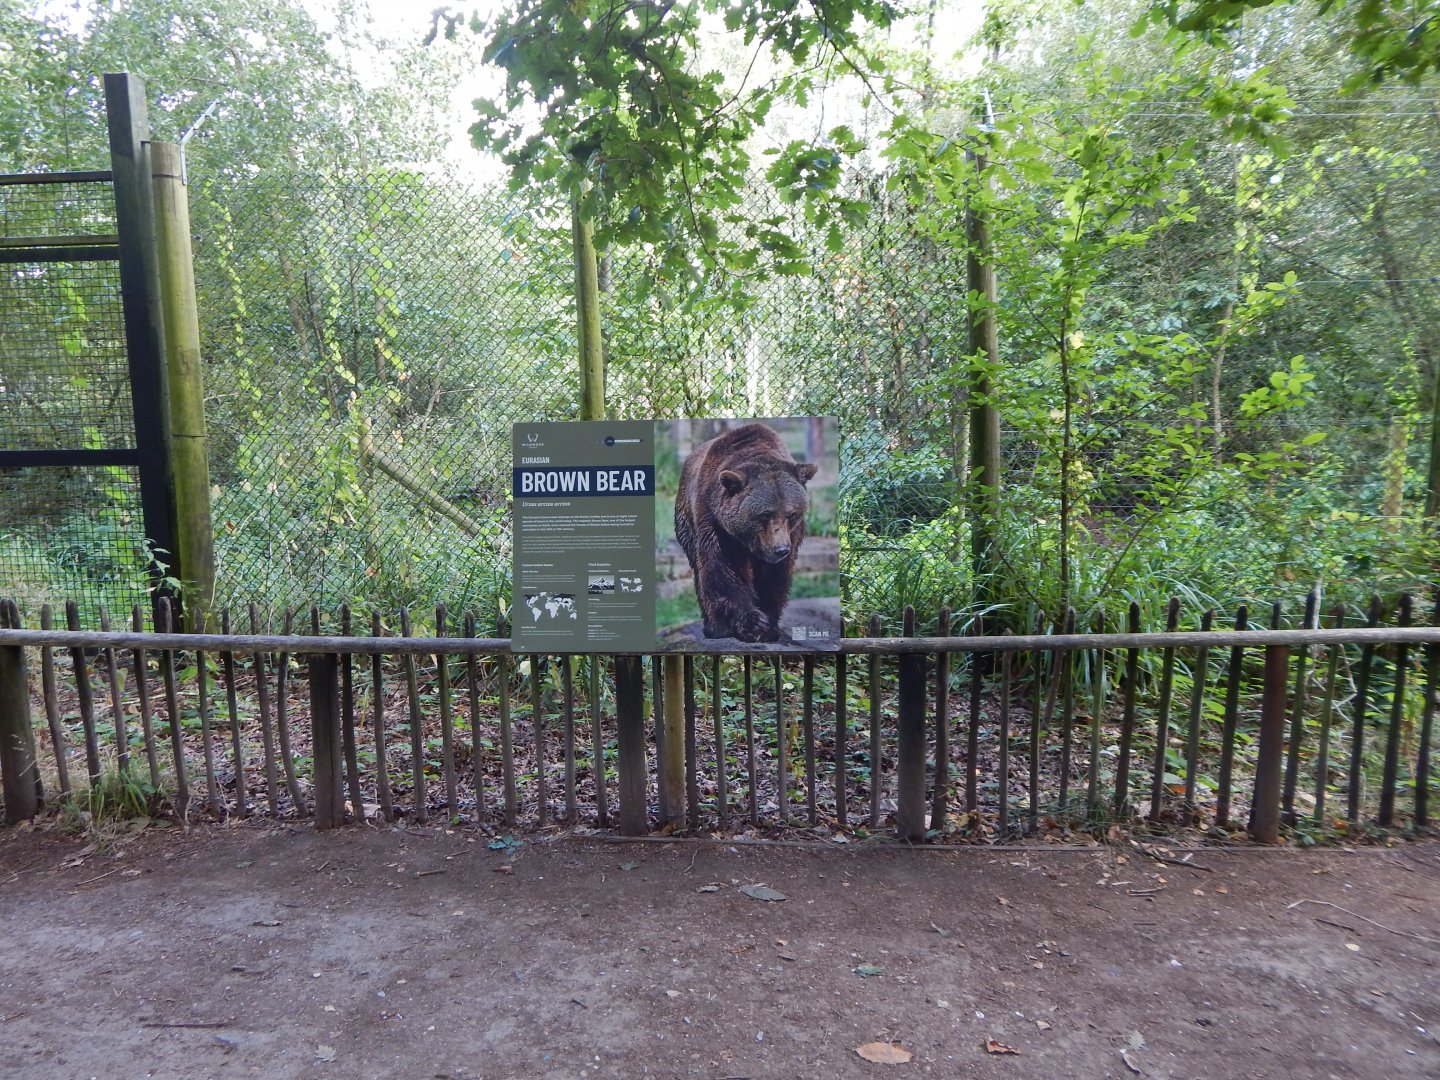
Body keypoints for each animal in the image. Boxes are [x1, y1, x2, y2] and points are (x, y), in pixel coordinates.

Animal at [674, 422, 818, 643]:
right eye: (765, 514)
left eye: (791, 513)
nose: (780, 549)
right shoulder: (716, 523)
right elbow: (725, 569)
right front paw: (752, 623)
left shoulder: (791, 535)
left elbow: (775, 576)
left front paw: (768, 627)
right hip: (686, 520)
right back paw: (714, 627)